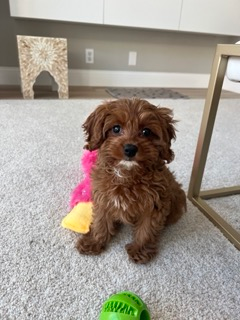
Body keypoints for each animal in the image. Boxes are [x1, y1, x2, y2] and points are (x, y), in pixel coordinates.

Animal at [76, 99, 186, 264]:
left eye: (146, 132)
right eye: (116, 128)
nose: (130, 149)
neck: (127, 176)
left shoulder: (154, 203)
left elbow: (146, 229)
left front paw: (140, 250)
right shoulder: (104, 198)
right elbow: (100, 222)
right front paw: (94, 241)